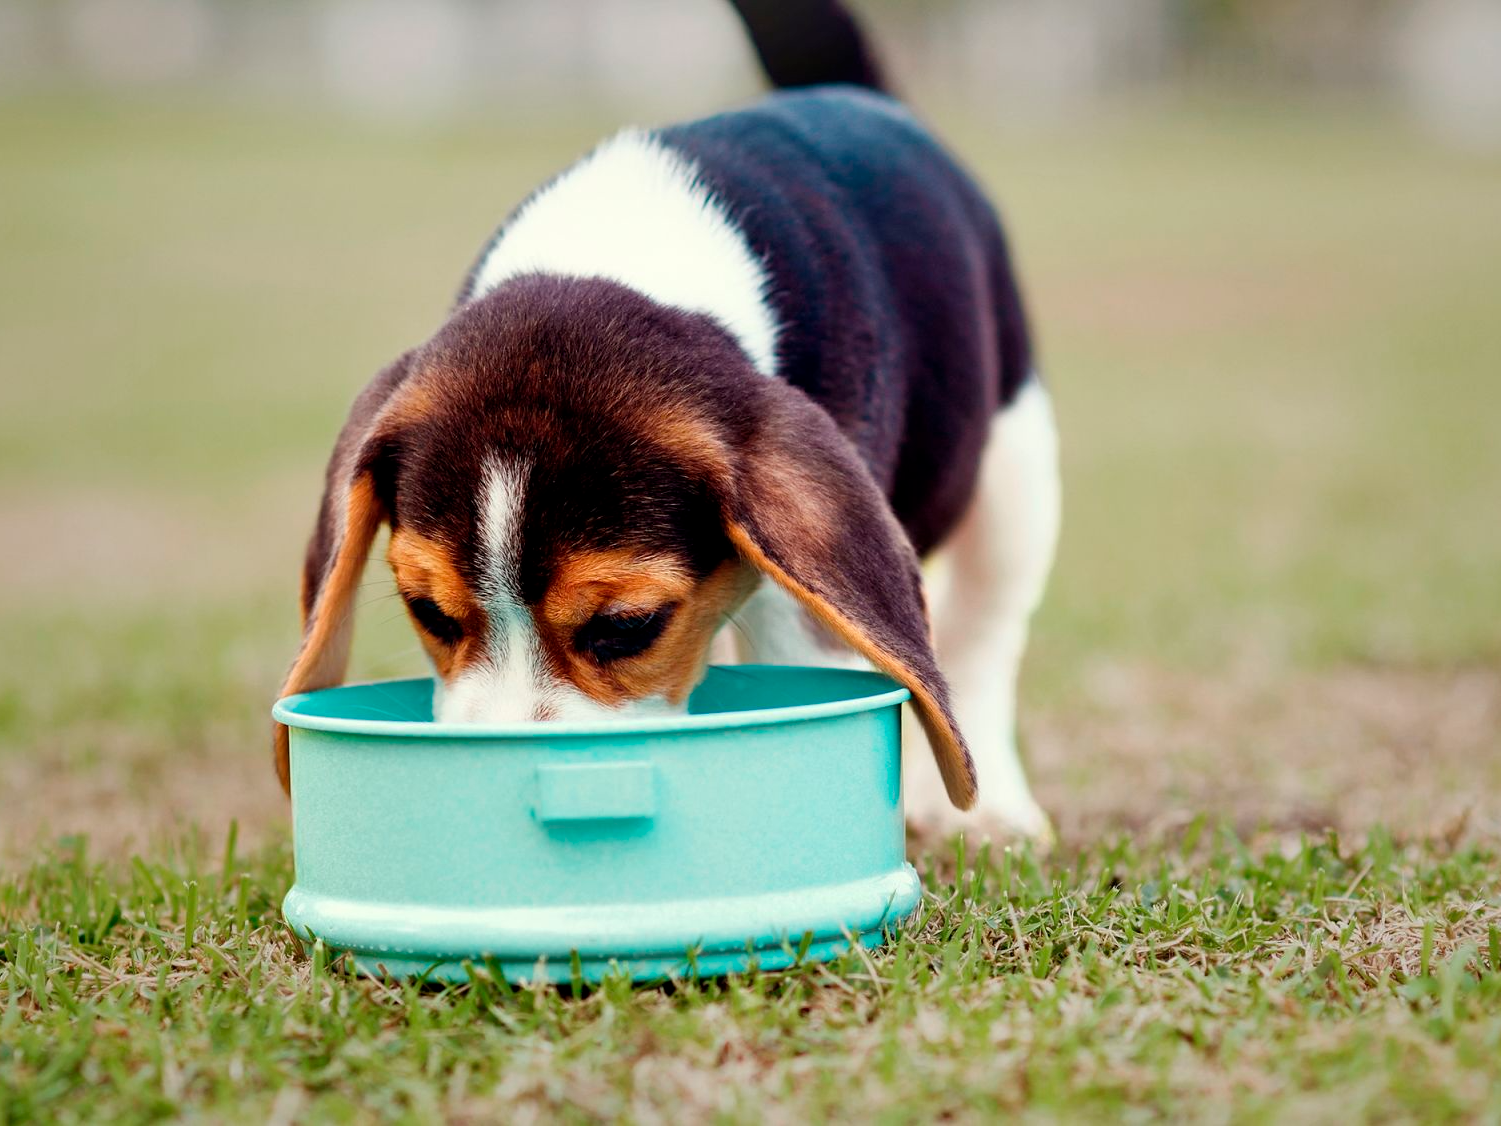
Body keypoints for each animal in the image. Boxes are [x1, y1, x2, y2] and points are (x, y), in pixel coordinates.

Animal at [276, 0, 1062, 840]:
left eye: (626, 627)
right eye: (429, 613)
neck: (618, 250)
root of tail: (859, 96)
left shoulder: (798, 589)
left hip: (1015, 471)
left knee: (982, 632)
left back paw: (991, 811)